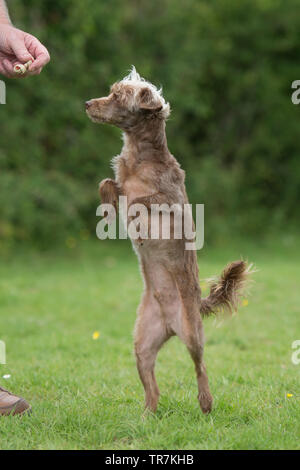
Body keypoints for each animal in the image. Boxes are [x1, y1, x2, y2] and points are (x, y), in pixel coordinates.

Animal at [85, 66, 252, 414]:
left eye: (117, 96)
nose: (87, 103)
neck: (140, 157)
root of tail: (170, 323)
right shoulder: (119, 182)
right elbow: (107, 182)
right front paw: (108, 209)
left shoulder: (168, 201)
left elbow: (140, 200)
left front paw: (130, 215)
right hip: (142, 342)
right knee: (152, 383)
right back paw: (148, 413)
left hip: (192, 333)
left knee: (200, 366)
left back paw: (205, 403)